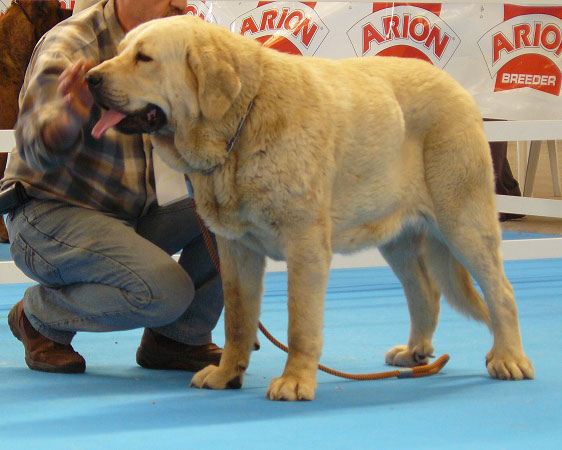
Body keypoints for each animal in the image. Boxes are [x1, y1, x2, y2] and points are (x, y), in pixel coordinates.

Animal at [86, 15, 528, 400]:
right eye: (120, 50)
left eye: (144, 58)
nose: (90, 78)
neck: (241, 121)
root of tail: (459, 89)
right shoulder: (236, 250)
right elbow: (238, 320)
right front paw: (228, 374)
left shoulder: (305, 247)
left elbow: (300, 324)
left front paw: (295, 381)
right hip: (397, 239)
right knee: (426, 292)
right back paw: (415, 351)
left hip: (464, 224)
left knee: (501, 293)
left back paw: (509, 358)